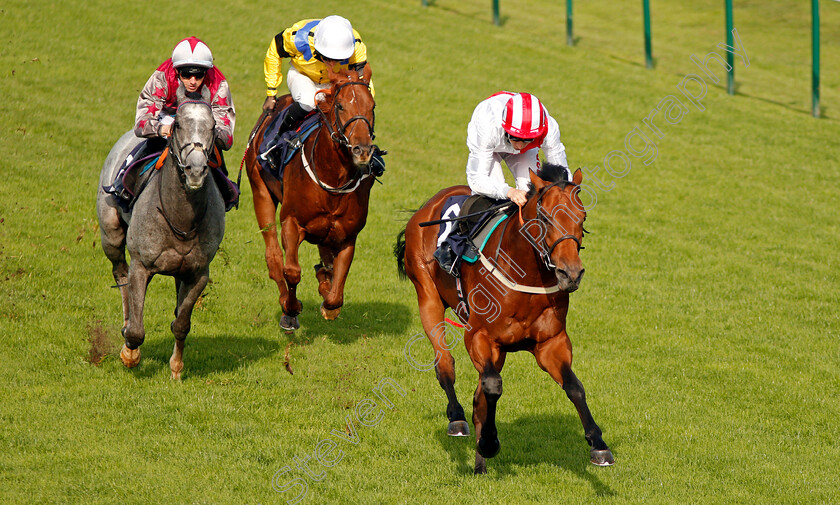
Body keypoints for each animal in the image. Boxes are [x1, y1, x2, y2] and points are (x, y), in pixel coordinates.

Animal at [96, 86, 223, 378]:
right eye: (178, 125)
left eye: (213, 126)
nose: (196, 170)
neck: (181, 219)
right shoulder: (141, 266)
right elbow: (136, 330)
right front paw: (129, 355)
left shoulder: (198, 273)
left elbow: (181, 322)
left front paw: (176, 367)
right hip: (111, 236)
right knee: (121, 276)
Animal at [243, 69, 374, 332]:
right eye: (341, 106)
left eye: (372, 106)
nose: (362, 150)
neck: (332, 177)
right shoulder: (292, 223)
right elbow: (292, 271)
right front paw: (291, 309)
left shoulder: (347, 236)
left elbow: (336, 291)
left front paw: (328, 300)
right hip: (261, 192)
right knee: (273, 257)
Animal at [398, 164, 612, 472]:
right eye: (545, 217)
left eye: (582, 217)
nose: (570, 273)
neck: (526, 274)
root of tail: (430, 203)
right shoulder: (479, 336)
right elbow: (492, 385)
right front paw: (489, 442)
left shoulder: (551, 343)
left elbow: (574, 387)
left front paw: (598, 444)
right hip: (427, 297)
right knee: (445, 363)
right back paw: (457, 418)